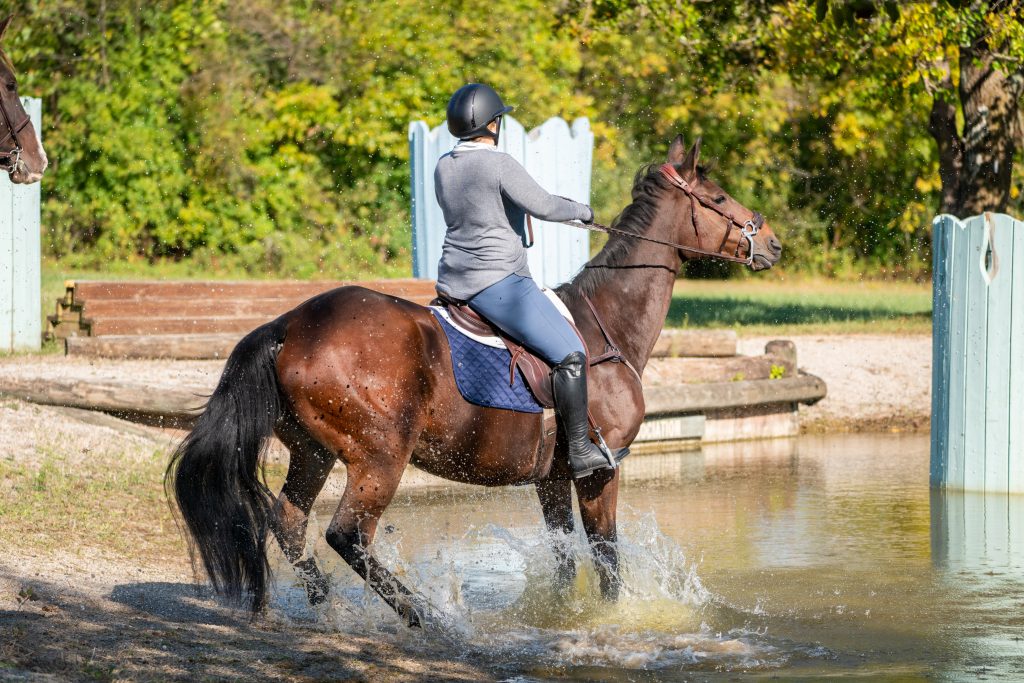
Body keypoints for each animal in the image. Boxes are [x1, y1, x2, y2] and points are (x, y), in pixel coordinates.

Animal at [167, 135, 782, 628]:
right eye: (719, 200)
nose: (773, 243)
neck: (608, 324)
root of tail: (291, 325)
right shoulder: (599, 472)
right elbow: (607, 557)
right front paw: (614, 618)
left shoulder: (552, 479)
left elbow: (564, 557)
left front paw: (560, 614)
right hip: (378, 458)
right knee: (347, 535)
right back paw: (420, 614)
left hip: (312, 452)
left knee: (290, 523)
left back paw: (328, 605)